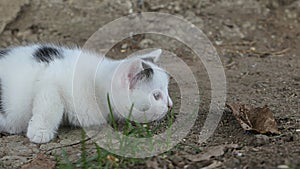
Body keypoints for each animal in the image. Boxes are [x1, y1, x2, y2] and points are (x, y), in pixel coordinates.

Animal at [0, 44, 173, 143]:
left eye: (167, 91)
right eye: (156, 96)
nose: (170, 105)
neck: (94, 84)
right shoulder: (49, 78)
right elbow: (50, 106)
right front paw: (40, 132)